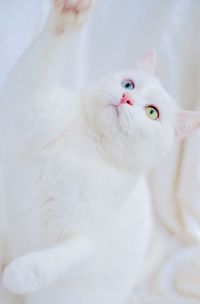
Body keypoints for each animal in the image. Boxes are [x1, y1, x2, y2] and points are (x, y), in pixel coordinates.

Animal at [0, 0, 200, 304]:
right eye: (128, 84)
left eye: (152, 112)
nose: (126, 98)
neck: (91, 144)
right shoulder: (29, 99)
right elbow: (43, 59)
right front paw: (68, 17)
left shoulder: (87, 242)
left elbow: (56, 260)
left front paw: (18, 274)